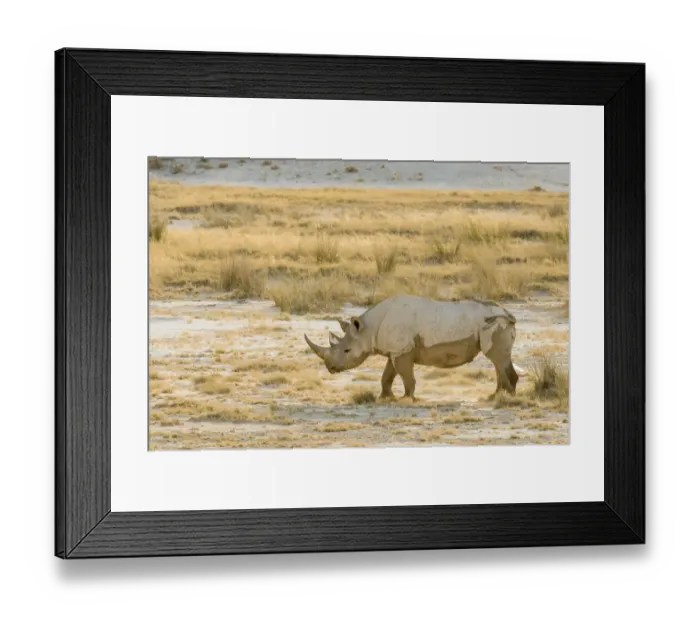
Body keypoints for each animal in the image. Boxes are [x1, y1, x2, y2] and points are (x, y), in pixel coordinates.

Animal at [304, 294, 519, 400]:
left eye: (347, 351)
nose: (330, 368)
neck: (368, 328)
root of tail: (509, 315)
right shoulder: (395, 350)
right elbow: (387, 376)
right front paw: (385, 398)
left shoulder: (402, 350)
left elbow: (406, 377)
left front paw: (407, 399)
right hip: (494, 324)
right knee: (498, 360)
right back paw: (495, 396)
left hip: (494, 324)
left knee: (496, 358)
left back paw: (508, 399)